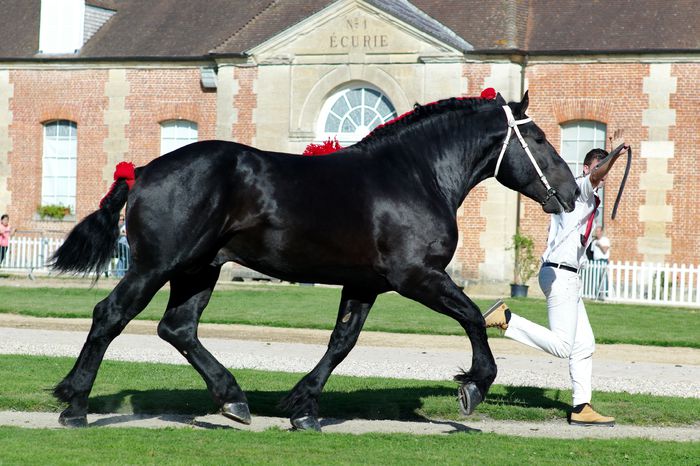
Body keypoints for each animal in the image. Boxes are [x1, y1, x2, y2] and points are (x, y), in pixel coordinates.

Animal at [50, 91, 580, 430]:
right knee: (110, 315)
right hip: (156, 267)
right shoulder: (416, 276)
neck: (413, 175)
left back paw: (233, 400)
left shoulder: (366, 284)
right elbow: (473, 316)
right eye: (538, 140)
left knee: (177, 329)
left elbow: (341, 343)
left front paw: (303, 406)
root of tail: (140, 171)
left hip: (198, 270)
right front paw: (474, 386)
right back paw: (74, 404)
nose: (573, 192)